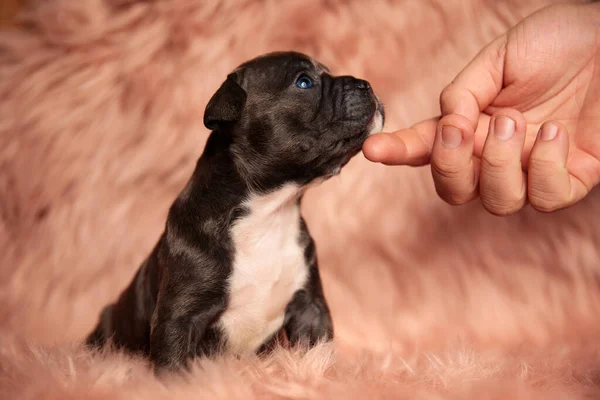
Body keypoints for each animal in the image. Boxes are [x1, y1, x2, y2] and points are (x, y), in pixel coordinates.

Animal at [86, 50, 382, 372]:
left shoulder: (310, 308)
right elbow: (172, 365)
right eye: (304, 82)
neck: (269, 212)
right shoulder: (179, 318)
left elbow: (318, 353)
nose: (366, 84)